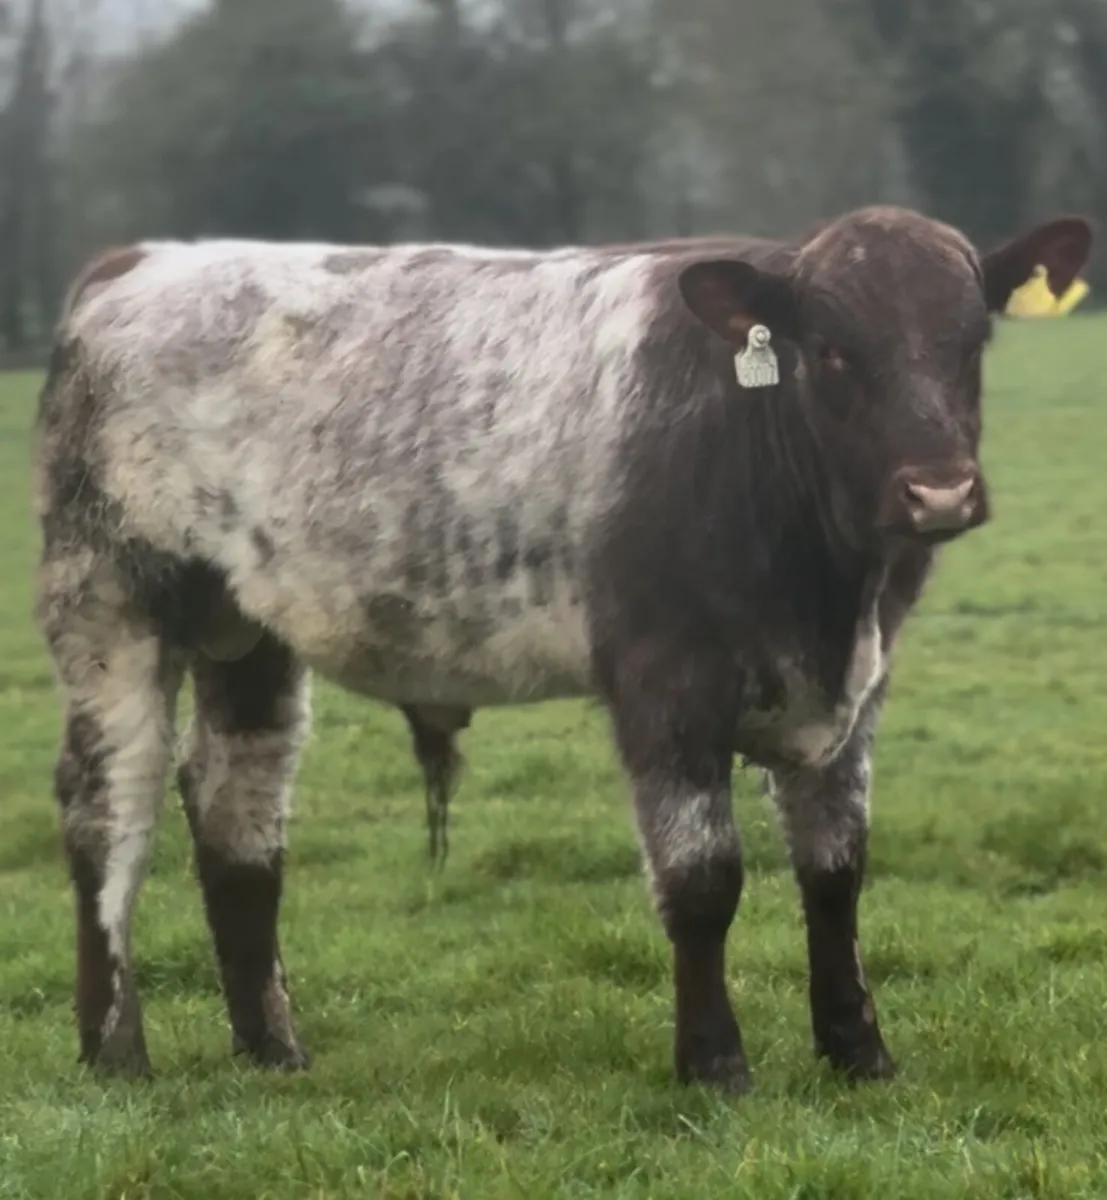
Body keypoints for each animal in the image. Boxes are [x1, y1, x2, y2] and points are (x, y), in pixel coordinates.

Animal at [32, 206, 1093, 1091]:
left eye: (972, 339)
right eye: (831, 351)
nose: (939, 491)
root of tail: (138, 264)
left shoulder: (852, 691)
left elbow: (835, 872)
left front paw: (858, 1053)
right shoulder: (664, 680)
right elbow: (702, 878)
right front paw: (713, 1064)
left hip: (247, 629)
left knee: (236, 810)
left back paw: (271, 1048)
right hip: (106, 602)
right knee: (110, 803)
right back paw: (115, 1049)